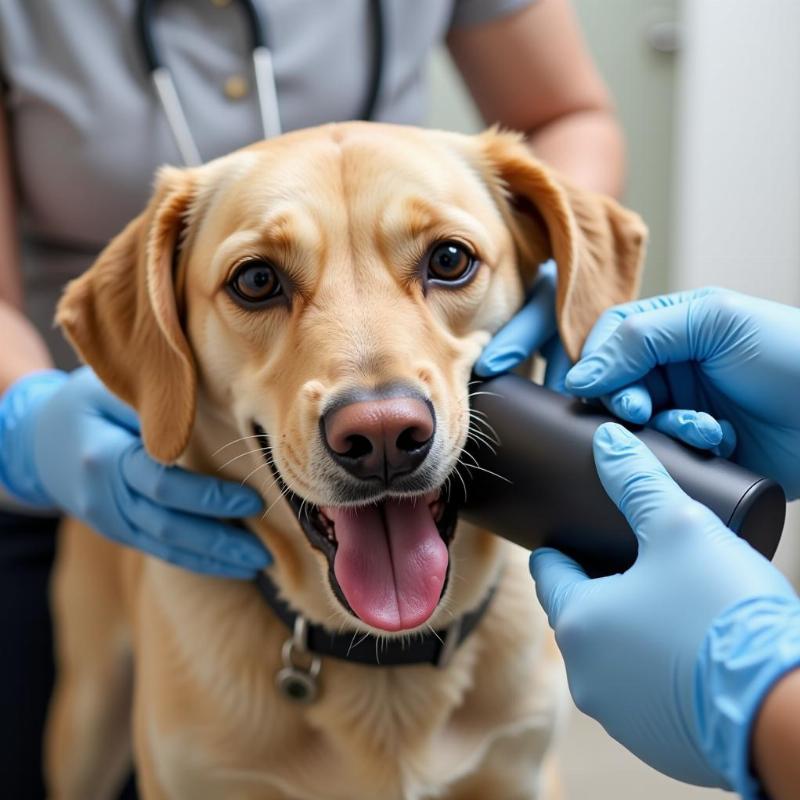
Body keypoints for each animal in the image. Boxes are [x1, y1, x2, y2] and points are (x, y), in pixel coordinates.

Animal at [47, 120, 644, 800]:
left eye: (450, 260)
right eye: (256, 280)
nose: (383, 434)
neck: (386, 658)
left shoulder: (522, 771)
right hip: (88, 711)